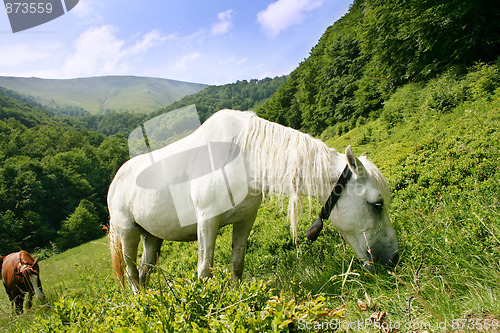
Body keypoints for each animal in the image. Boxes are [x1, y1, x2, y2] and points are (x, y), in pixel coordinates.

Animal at [108, 109, 398, 290]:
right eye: (377, 205)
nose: (393, 259)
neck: (244, 156)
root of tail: (114, 182)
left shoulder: (245, 219)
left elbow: (237, 263)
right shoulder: (207, 222)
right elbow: (204, 270)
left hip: (152, 238)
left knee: (144, 271)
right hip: (128, 233)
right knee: (132, 274)